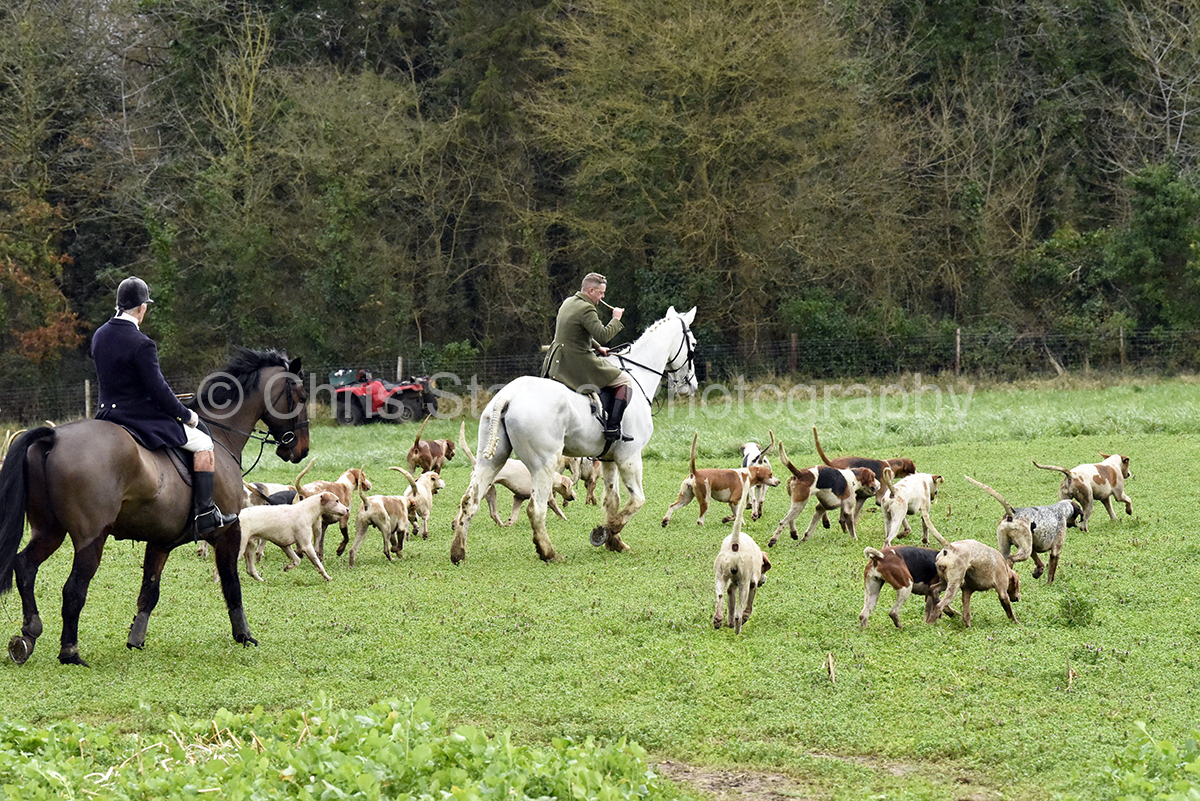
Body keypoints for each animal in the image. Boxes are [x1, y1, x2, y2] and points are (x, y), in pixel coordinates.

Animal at [0, 347, 310, 666]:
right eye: (301, 397)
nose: (301, 449)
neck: (223, 436)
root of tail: (54, 437)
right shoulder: (229, 530)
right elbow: (231, 583)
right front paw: (244, 636)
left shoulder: (160, 541)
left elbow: (149, 591)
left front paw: (135, 639)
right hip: (90, 538)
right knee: (73, 589)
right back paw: (70, 653)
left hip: (49, 531)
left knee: (25, 567)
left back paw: (27, 636)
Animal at [452, 306, 697, 564]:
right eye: (692, 344)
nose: (691, 386)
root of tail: (507, 396)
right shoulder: (630, 457)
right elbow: (637, 500)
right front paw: (604, 532)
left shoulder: (609, 459)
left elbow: (612, 500)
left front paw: (615, 542)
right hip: (543, 465)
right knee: (536, 508)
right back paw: (549, 553)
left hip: (492, 461)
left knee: (470, 501)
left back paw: (458, 552)